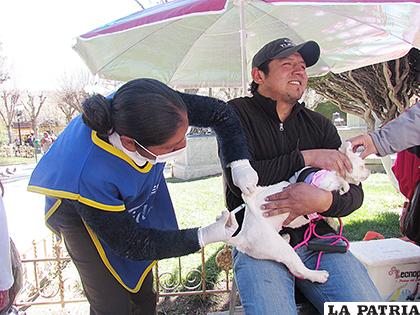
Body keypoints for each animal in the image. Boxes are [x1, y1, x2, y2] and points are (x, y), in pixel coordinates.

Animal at [228, 143, 370, 284]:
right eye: (362, 165)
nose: (368, 171)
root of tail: (243, 236)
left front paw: (331, 221)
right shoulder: (323, 183)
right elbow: (340, 180)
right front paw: (344, 186)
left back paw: (286, 237)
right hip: (281, 249)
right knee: (299, 270)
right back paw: (318, 275)